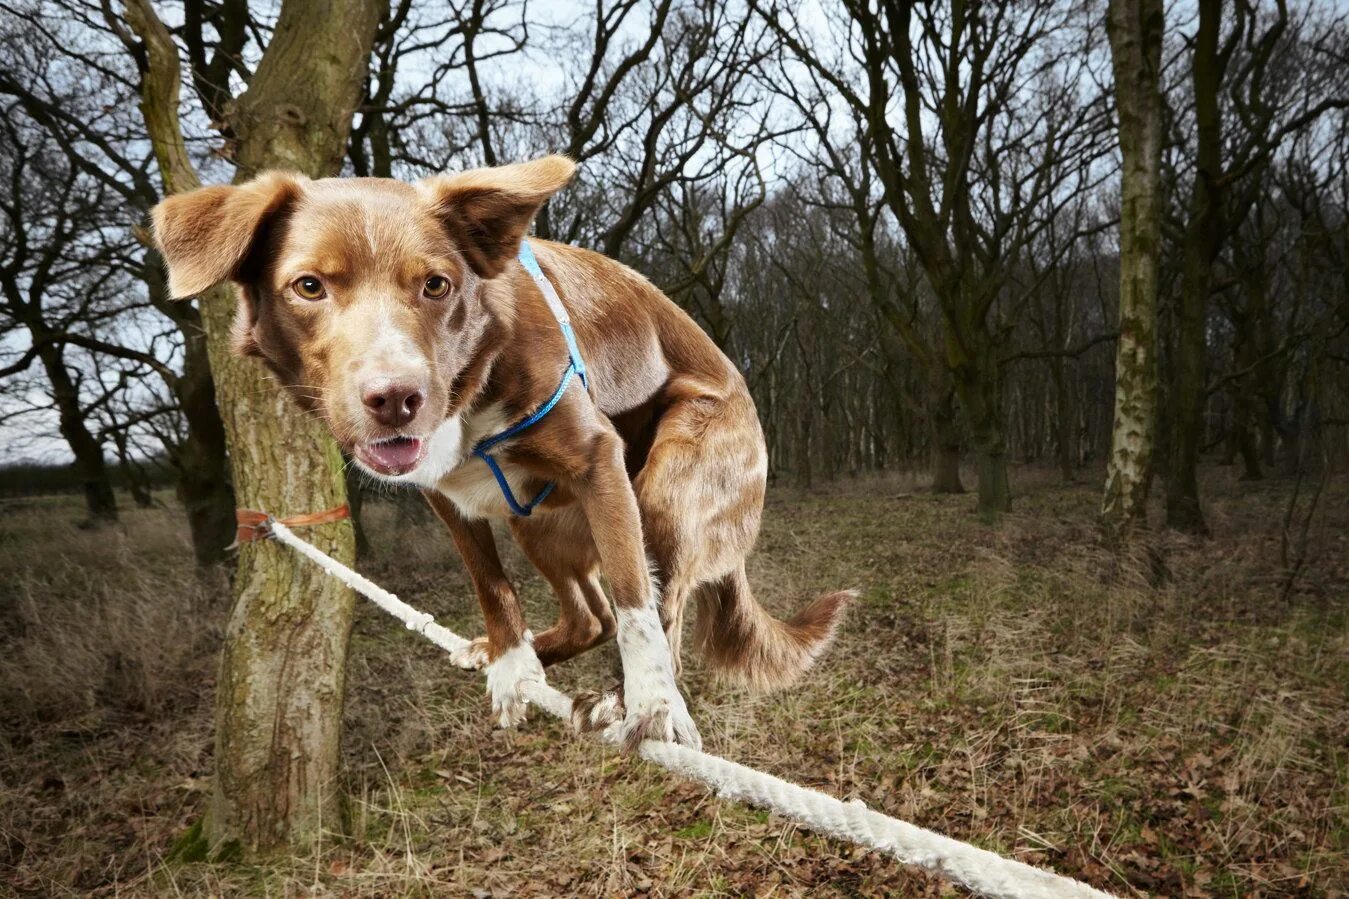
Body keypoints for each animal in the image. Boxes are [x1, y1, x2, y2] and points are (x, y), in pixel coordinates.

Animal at [155, 157, 841, 745]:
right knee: (591, 618)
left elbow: (634, 601)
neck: (471, 384)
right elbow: (491, 584)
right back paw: (518, 656)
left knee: (656, 608)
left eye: (436, 285)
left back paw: (629, 699)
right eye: (308, 286)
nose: (396, 398)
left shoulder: (597, 458)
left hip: (666, 489)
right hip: (535, 521)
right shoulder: (443, 494)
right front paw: (510, 662)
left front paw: (653, 705)